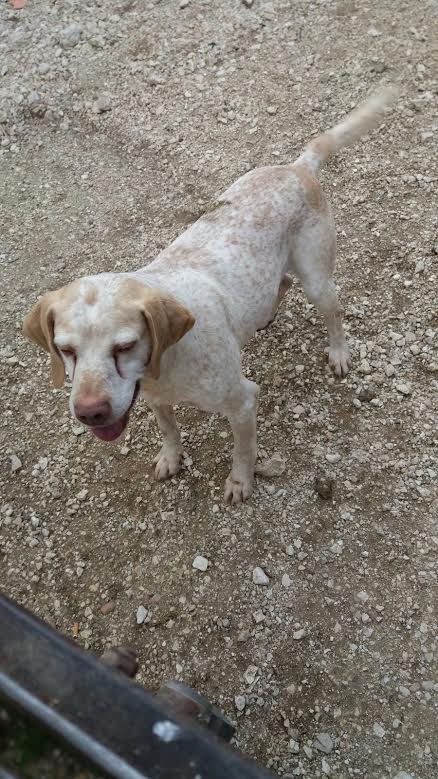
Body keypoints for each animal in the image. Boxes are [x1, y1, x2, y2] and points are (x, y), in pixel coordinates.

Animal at [23, 88, 396, 504]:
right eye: (65, 350)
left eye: (125, 346)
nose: (90, 413)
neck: (168, 359)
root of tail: (296, 167)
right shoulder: (153, 398)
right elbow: (169, 430)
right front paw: (171, 458)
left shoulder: (243, 400)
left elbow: (243, 449)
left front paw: (240, 481)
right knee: (280, 284)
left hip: (316, 279)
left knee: (334, 312)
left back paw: (339, 353)